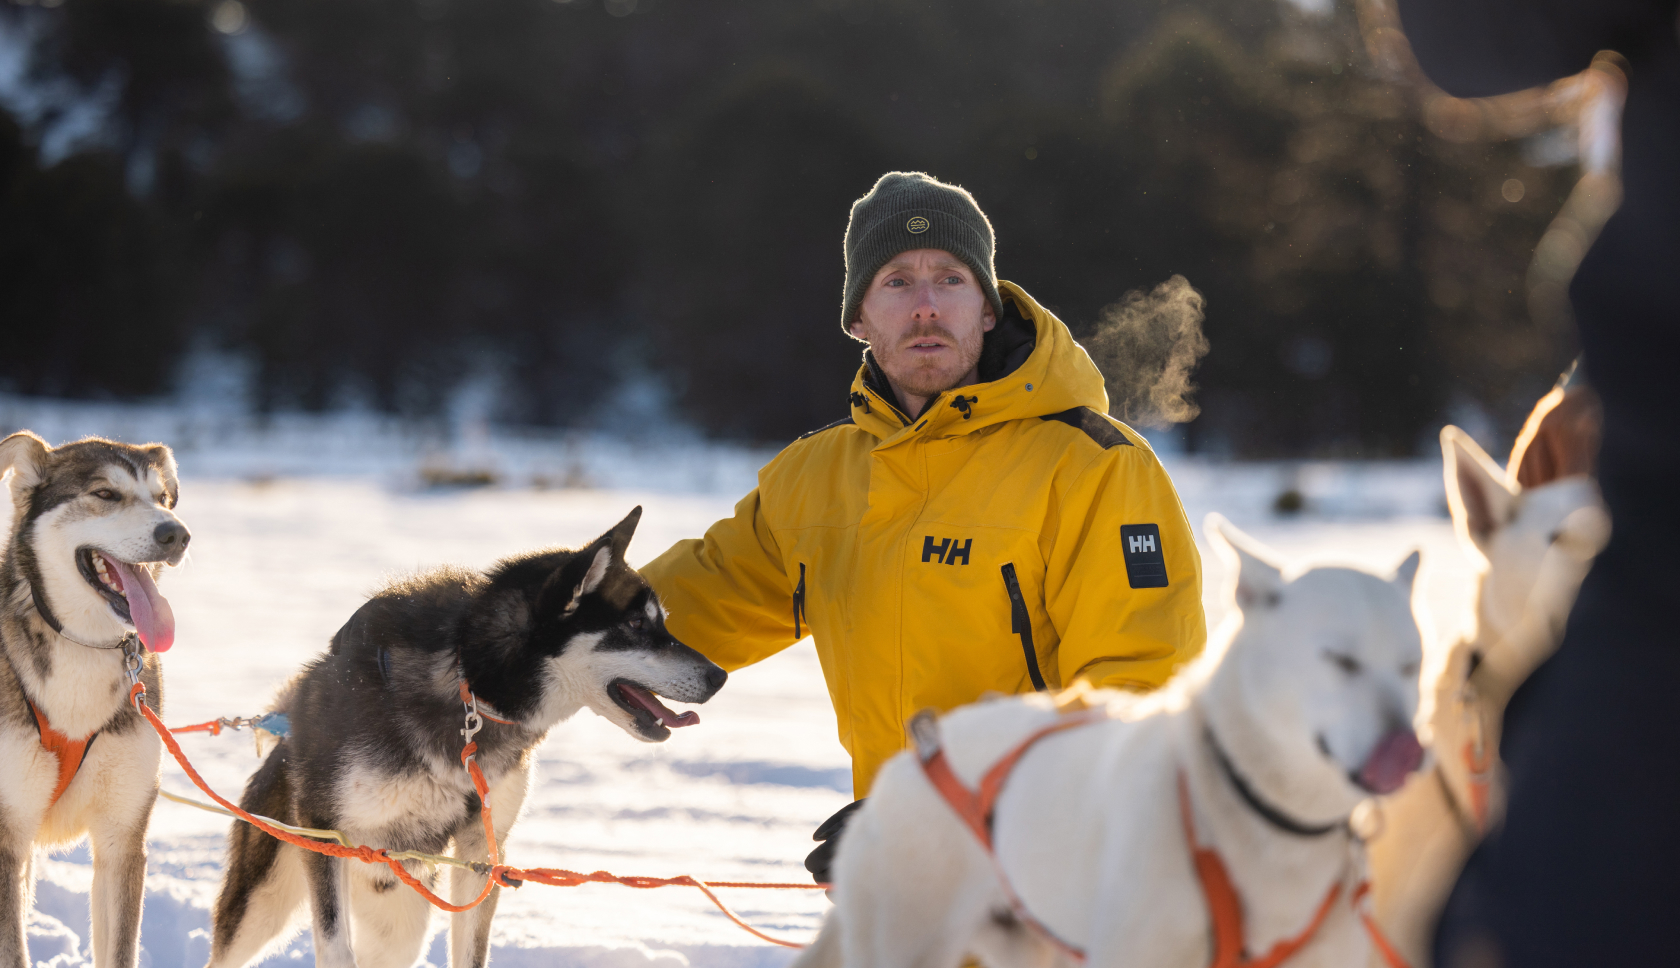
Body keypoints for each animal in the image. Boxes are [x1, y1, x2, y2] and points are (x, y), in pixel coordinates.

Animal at [0, 430, 189, 968]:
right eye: (106, 494)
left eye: (163, 498)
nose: (177, 535)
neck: (82, 646)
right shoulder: (8, 838)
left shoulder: (121, 839)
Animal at [199, 507, 725, 968]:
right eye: (636, 624)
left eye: (662, 622)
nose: (719, 676)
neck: (469, 685)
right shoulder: (326, 833)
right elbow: (335, 947)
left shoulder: (482, 854)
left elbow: (471, 949)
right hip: (262, 905)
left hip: (399, 929)